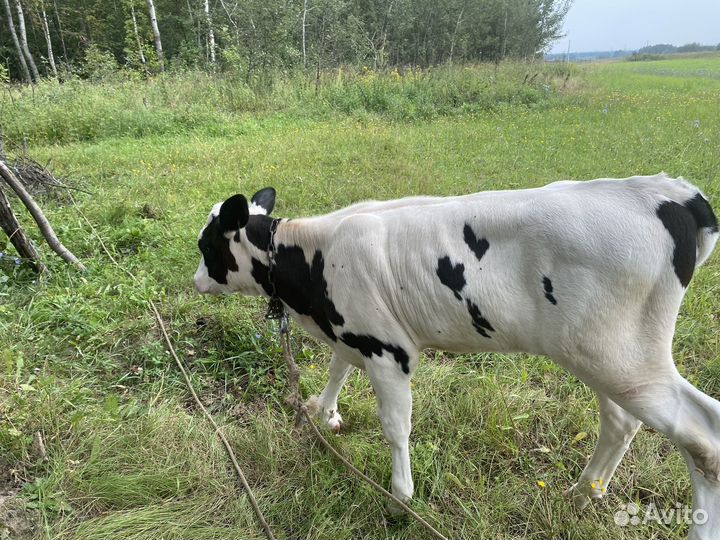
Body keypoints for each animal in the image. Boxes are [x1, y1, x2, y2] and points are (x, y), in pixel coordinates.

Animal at [194, 173, 719, 540]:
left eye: (206, 244)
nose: (196, 280)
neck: (313, 258)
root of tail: (670, 192)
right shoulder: (355, 331)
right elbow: (337, 367)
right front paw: (322, 413)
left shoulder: (388, 351)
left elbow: (395, 428)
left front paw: (400, 501)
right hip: (598, 354)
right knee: (620, 421)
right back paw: (580, 495)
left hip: (622, 357)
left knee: (702, 438)